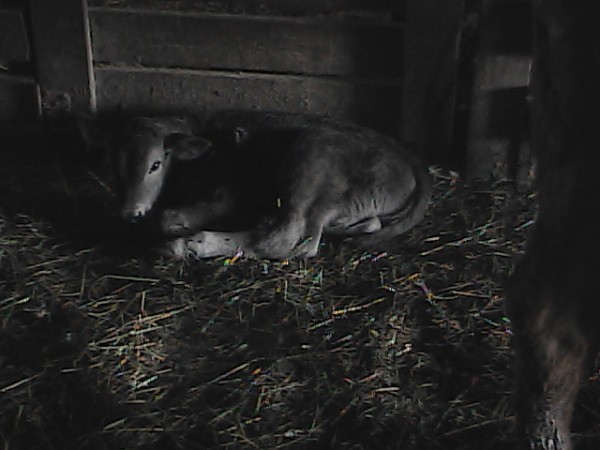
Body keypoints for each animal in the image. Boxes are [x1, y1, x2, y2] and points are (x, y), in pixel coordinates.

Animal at [0, 125, 596, 448]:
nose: (128, 212)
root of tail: (415, 167)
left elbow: (180, 215)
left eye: (154, 163)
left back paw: (193, 244)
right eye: (111, 164)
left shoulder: (228, 190)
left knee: (293, 238)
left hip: (313, 163)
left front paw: (177, 235)